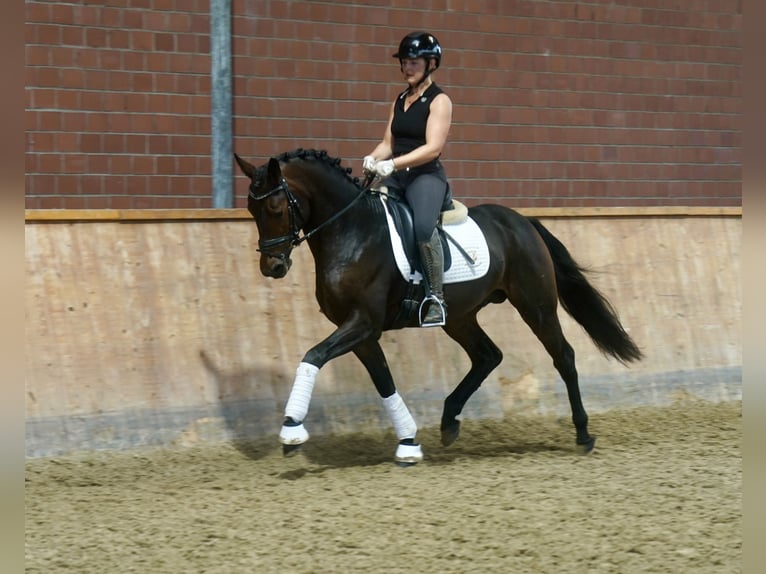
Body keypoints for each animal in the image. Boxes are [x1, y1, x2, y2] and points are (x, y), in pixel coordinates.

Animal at [234, 148, 642, 465]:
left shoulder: (363, 323)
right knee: (488, 355)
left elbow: (312, 356)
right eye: (251, 210)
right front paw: (409, 443)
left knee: (563, 356)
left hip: (536, 305)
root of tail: (522, 221)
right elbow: (383, 380)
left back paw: (583, 434)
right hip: (459, 317)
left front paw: (291, 429)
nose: (273, 267)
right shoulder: (361, 332)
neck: (351, 231)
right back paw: (448, 422)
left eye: (275, 207)